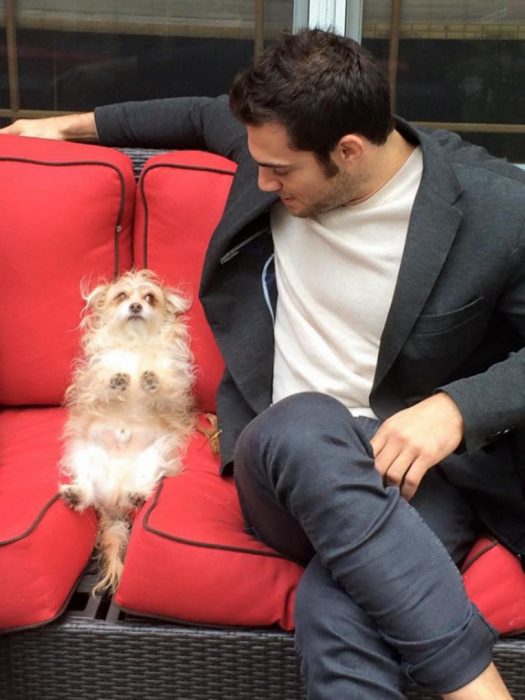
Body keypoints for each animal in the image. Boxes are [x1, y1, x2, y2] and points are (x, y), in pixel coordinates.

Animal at [59, 270, 194, 592]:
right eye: (122, 296)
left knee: (142, 484)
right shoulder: (91, 383)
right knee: (87, 488)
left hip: (154, 458)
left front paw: (149, 380)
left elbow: (164, 389)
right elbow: (101, 387)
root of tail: (114, 499)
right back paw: (76, 495)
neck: (136, 344)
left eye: (149, 298)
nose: (135, 306)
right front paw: (117, 380)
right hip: (86, 457)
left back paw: (135, 495)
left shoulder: (174, 389)